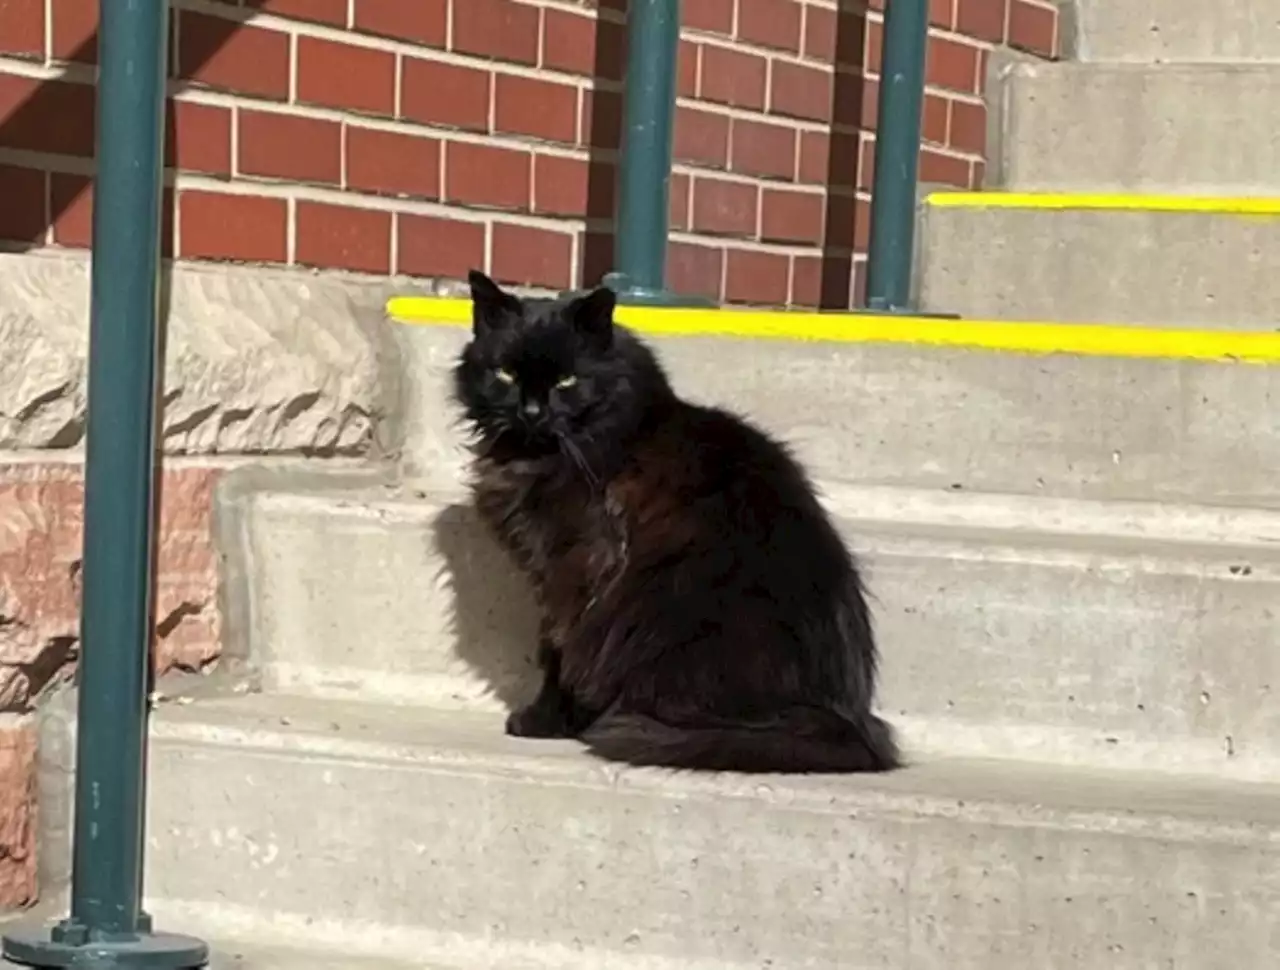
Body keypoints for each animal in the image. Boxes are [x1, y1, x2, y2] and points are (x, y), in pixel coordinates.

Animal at [450, 271, 901, 772]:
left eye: (567, 380)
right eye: (505, 375)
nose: (531, 412)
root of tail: (845, 721)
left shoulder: (573, 570)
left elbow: (557, 654)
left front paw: (541, 721)